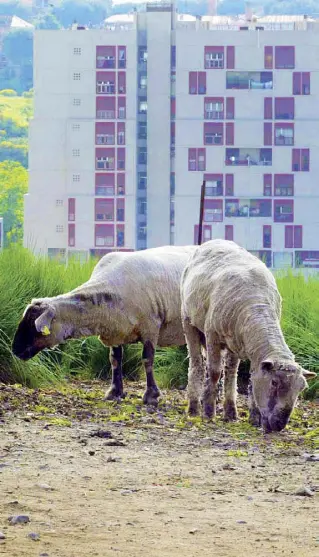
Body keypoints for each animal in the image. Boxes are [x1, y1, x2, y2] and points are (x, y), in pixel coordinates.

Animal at [12, 244, 198, 404]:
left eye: (33, 326)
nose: (15, 350)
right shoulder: (115, 331)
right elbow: (115, 360)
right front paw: (114, 392)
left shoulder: (150, 327)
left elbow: (147, 359)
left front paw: (151, 395)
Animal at [181, 238, 316, 430]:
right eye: (274, 382)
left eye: (301, 388)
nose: (278, 425)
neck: (257, 305)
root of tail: (215, 240)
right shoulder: (212, 335)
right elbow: (214, 372)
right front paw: (208, 413)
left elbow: (252, 379)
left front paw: (254, 418)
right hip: (189, 321)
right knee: (197, 364)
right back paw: (194, 408)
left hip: (234, 343)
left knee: (231, 372)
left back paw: (230, 412)